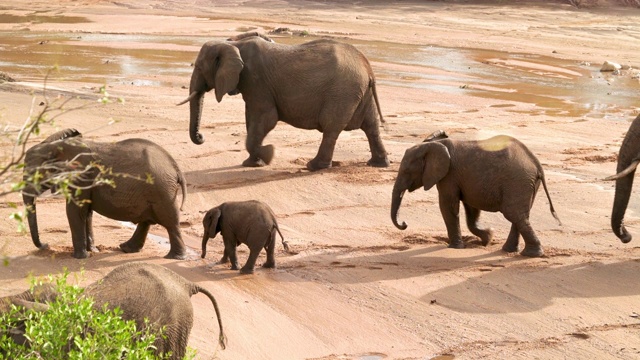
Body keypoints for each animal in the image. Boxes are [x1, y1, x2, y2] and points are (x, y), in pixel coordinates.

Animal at [179, 33, 390, 171]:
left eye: (199, 67)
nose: (201, 137)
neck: (233, 42)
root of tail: (368, 68)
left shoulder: (257, 80)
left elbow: (267, 118)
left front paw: (268, 154)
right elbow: (252, 119)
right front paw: (253, 163)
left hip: (342, 93)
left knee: (331, 128)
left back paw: (314, 167)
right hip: (360, 93)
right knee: (371, 126)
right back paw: (378, 164)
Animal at [390, 131, 560, 258]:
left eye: (406, 171)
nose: (404, 223)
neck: (431, 144)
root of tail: (536, 163)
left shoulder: (449, 175)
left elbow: (448, 206)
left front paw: (455, 247)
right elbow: (471, 209)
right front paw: (488, 237)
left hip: (518, 181)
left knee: (514, 214)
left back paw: (531, 254)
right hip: (526, 184)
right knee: (520, 216)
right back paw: (511, 251)